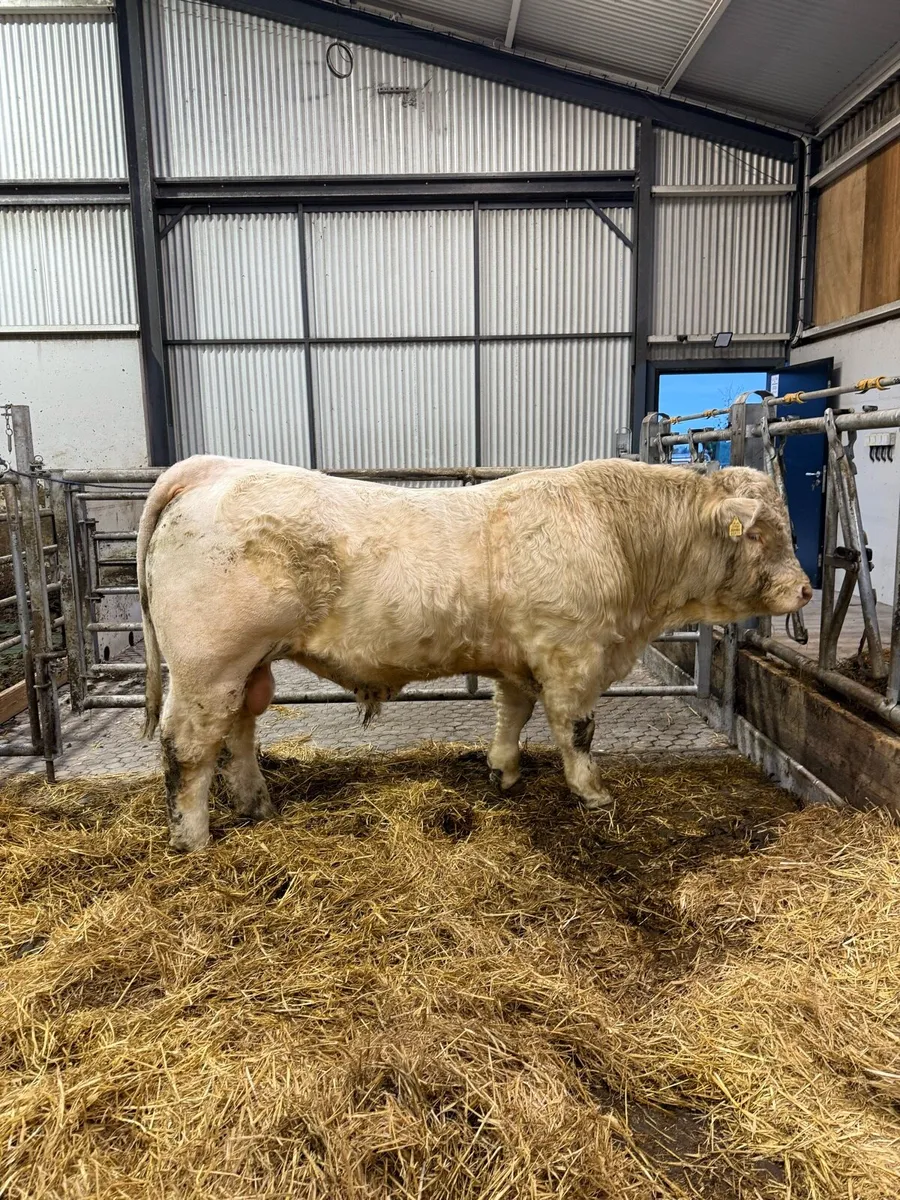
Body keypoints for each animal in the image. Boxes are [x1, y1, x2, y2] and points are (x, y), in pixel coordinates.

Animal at [137, 455, 811, 851]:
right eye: (761, 532)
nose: (805, 589)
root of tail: (213, 467)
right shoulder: (572, 653)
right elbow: (577, 728)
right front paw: (592, 793)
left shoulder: (521, 655)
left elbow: (511, 712)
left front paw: (502, 771)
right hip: (207, 665)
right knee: (188, 748)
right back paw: (193, 839)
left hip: (243, 667)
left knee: (239, 731)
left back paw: (258, 807)